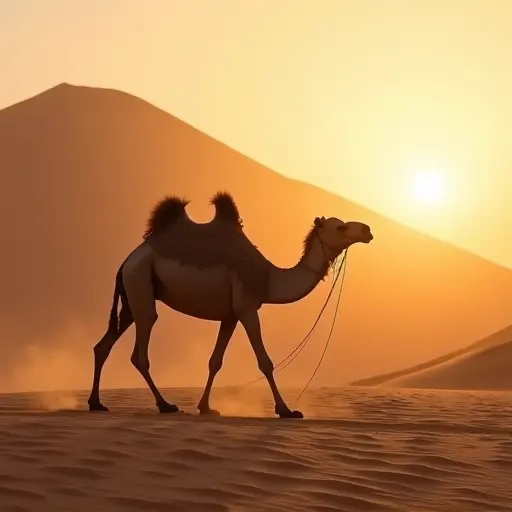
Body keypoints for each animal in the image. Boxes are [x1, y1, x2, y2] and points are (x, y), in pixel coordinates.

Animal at [88, 190, 374, 418]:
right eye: (340, 228)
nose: (367, 230)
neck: (268, 277)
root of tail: (126, 261)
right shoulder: (247, 307)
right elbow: (265, 361)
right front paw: (286, 410)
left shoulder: (230, 316)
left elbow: (215, 361)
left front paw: (205, 407)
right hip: (140, 281)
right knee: (140, 348)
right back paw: (165, 405)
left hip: (132, 296)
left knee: (104, 344)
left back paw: (96, 403)